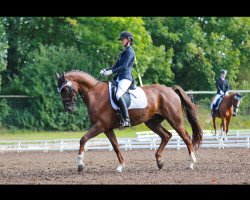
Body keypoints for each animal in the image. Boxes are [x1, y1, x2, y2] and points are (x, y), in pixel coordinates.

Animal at [55, 70, 202, 172]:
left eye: (65, 89)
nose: (68, 108)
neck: (95, 94)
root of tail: (170, 89)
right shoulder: (107, 128)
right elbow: (116, 146)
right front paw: (120, 166)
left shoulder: (100, 126)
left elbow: (83, 139)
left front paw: (80, 164)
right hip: (152, 122)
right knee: (167, 135)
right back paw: (159, 161)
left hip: (174, 120)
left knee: (186, 137)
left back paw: (191, 163)